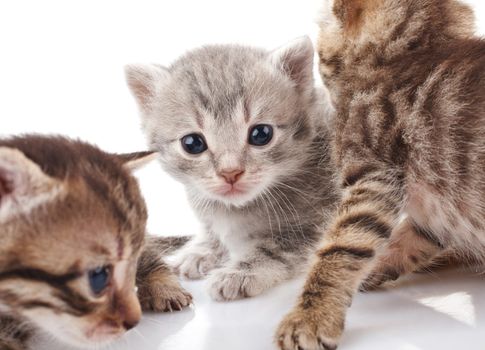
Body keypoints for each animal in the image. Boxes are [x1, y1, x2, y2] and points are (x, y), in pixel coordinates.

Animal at [124, 37, 336, 300]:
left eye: (261, 134)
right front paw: (202, 250)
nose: (230, 172)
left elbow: (275, 250)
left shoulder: (315, 223)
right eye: (192, 143)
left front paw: (239, 273)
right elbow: (212, 231)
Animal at [276, 0, 484, 348]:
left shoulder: (373, 177)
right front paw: (378, 266)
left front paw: (311, 315)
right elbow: (410, 237)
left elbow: (343, 244)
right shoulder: (434, 213)